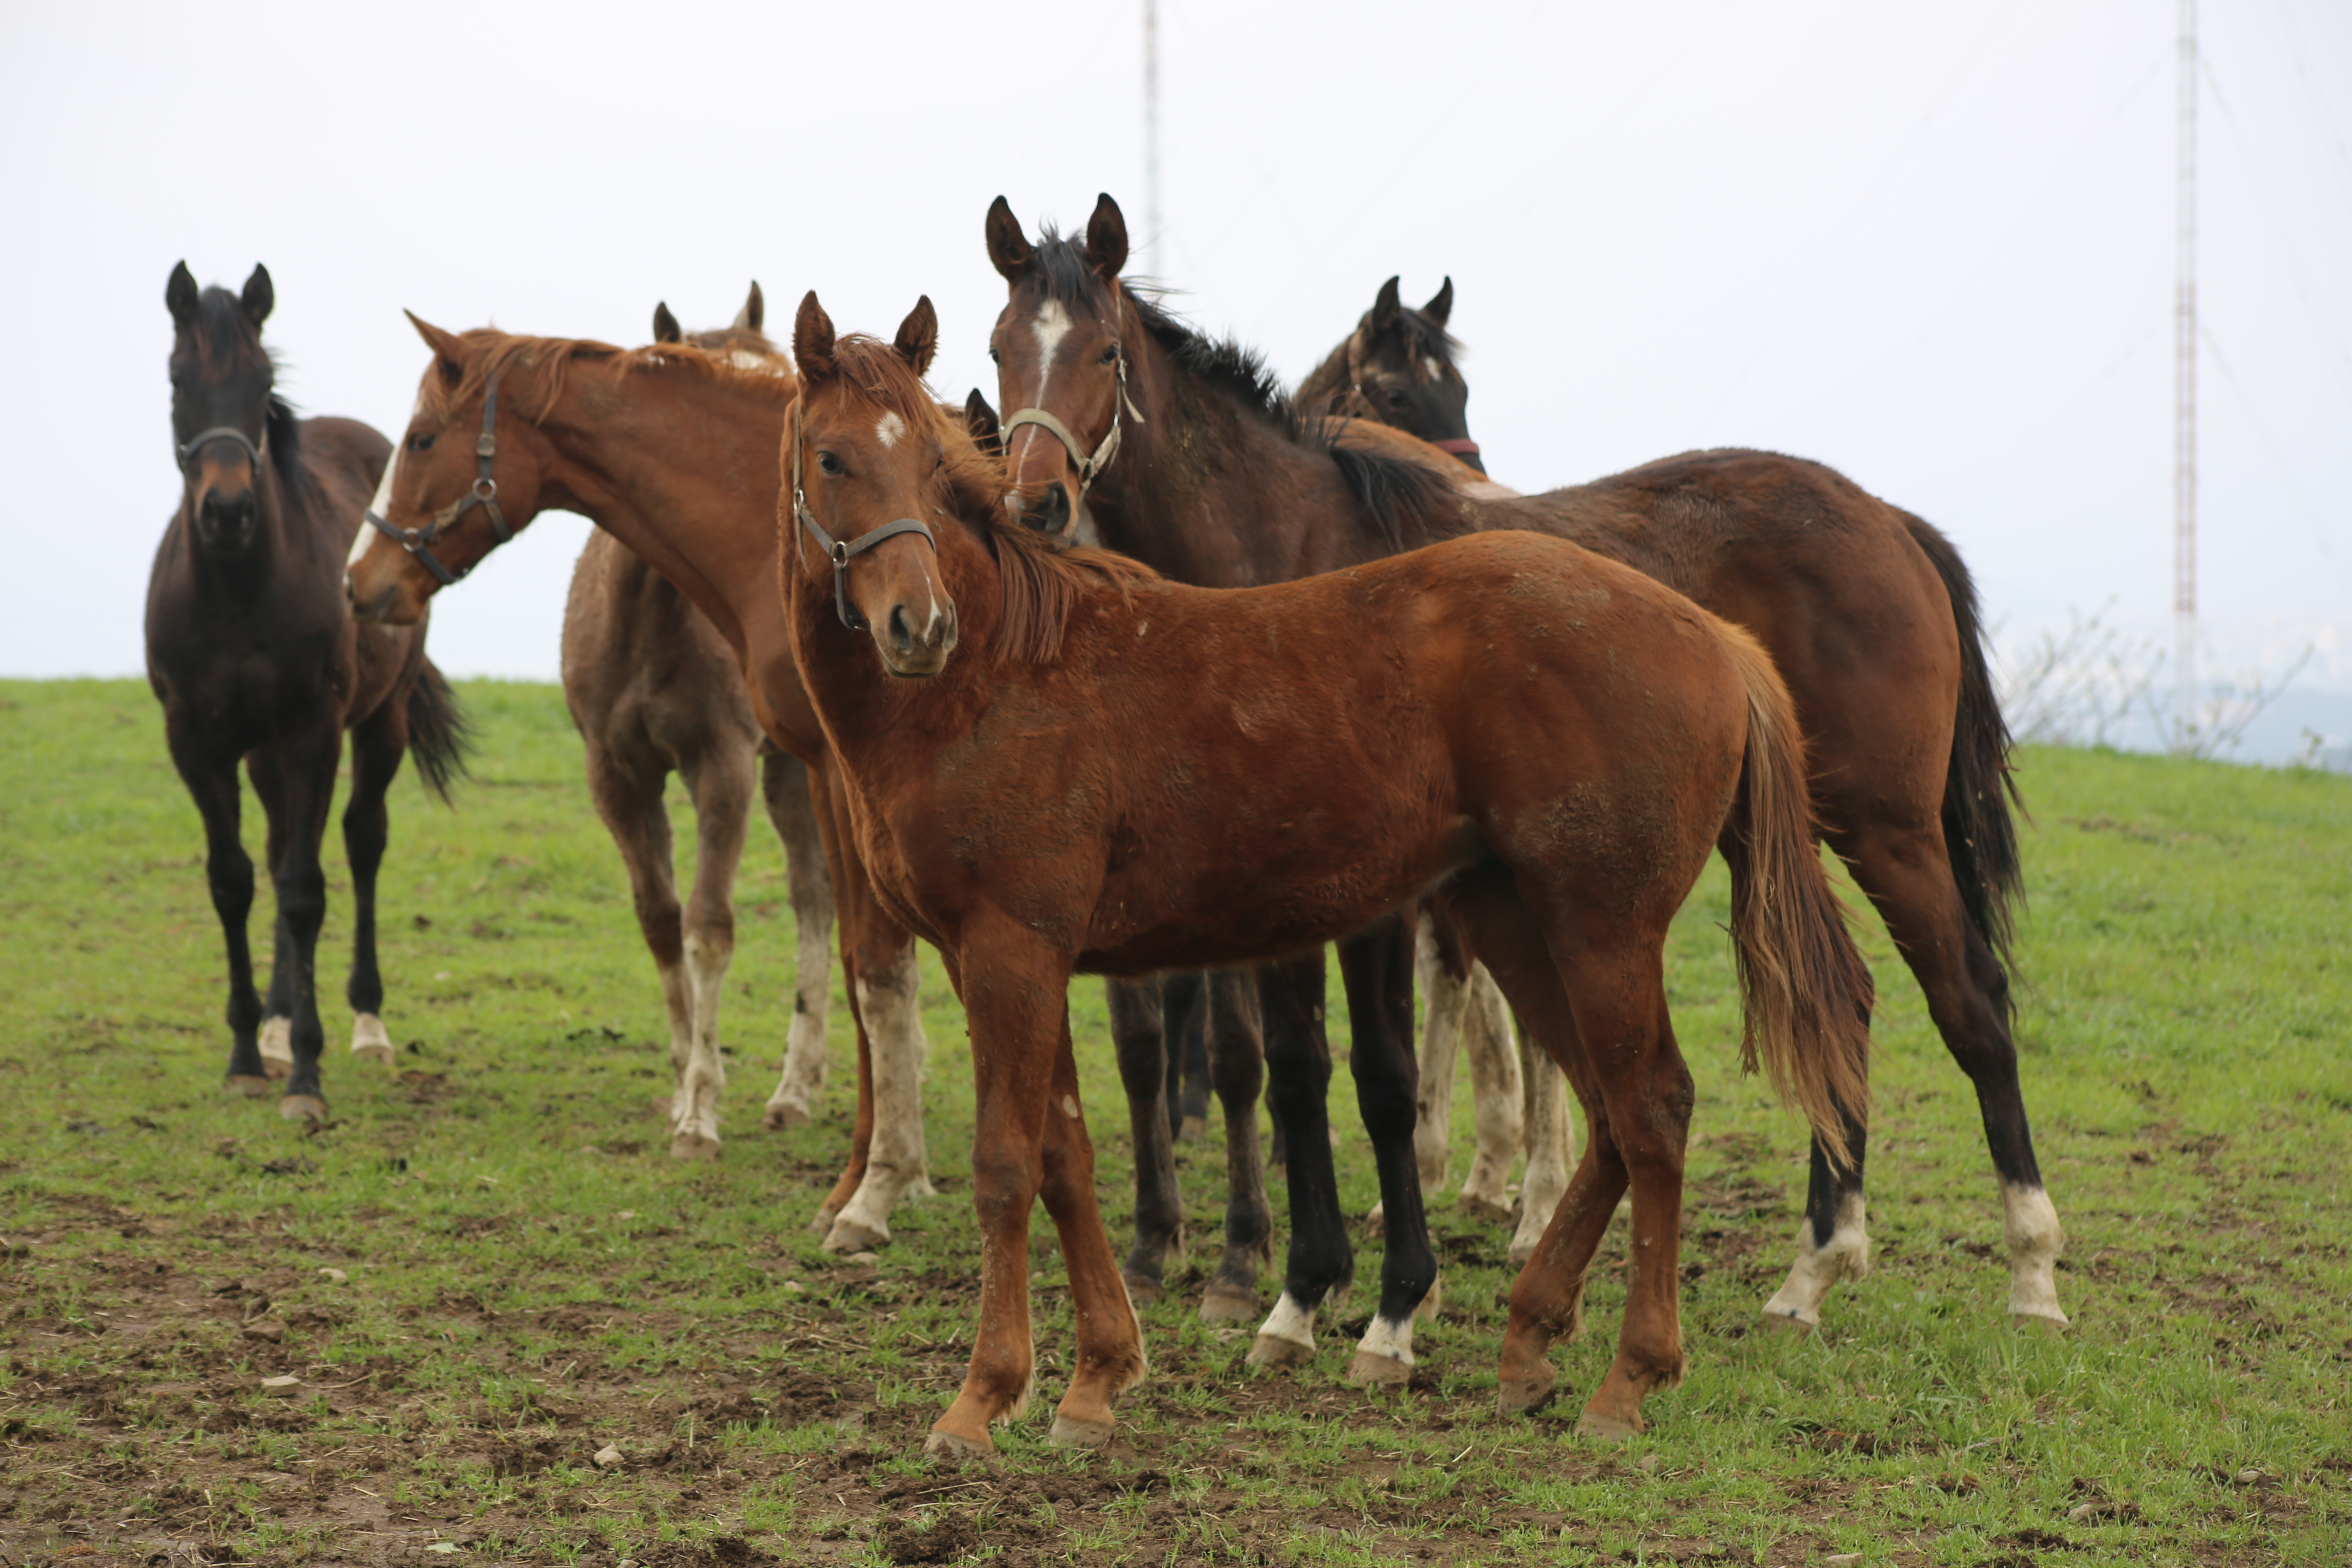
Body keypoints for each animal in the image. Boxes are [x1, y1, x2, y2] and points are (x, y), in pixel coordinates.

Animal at [148, 261, 468, 1114]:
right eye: (179, 378)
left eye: (263, 382)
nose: (228, 510)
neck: (235, 592)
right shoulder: (196, 740)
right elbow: (234, 880)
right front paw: (246, 1052)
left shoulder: (313, 731)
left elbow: (303, 890)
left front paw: (307, 1074)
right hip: (262, 754)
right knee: (279, 843)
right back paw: (276, 1020)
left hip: (379, 724)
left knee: (359, 842)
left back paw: (366, 1024)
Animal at [557, 288, 837, 1161]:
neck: (652, 618)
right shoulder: (614, 774)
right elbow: (659, 918)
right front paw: (684, 1073)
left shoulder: (725, 765)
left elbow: (709, 924)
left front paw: (701, 1110)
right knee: (815, 898)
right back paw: (798, 1086)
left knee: (818, 903)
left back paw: (801, 1086)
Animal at [781, 288, 1862, 1457]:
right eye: (831, 458)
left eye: (935, 468)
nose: (917, 626)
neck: (999, 671)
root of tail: (1714, 636)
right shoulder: (1018, 959)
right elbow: (1065, 1157)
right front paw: (1096, 1379)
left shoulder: (1011, 952)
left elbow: (1006, 1166)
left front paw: (983, 1398)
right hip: (1516, 924)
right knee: (1611, 1113)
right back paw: (1529, 1337)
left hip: (1601, 931)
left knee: (1654, 1108)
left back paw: (1628, 1377)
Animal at [983, 200, 2069, 1354]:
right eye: (1001, 350)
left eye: (1104, 352)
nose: (1037, 502)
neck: (1288, 549)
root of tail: (1888, 521)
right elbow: (1294, 1071)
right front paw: (1299, 1294)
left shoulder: (1374, 897)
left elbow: (1382, 1078)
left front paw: (1391, 1303)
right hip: (1778, 840)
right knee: (1842, 998)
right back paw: (1815, 1265)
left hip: (1889, 833)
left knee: (1972, 1008)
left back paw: (2029, 1271)